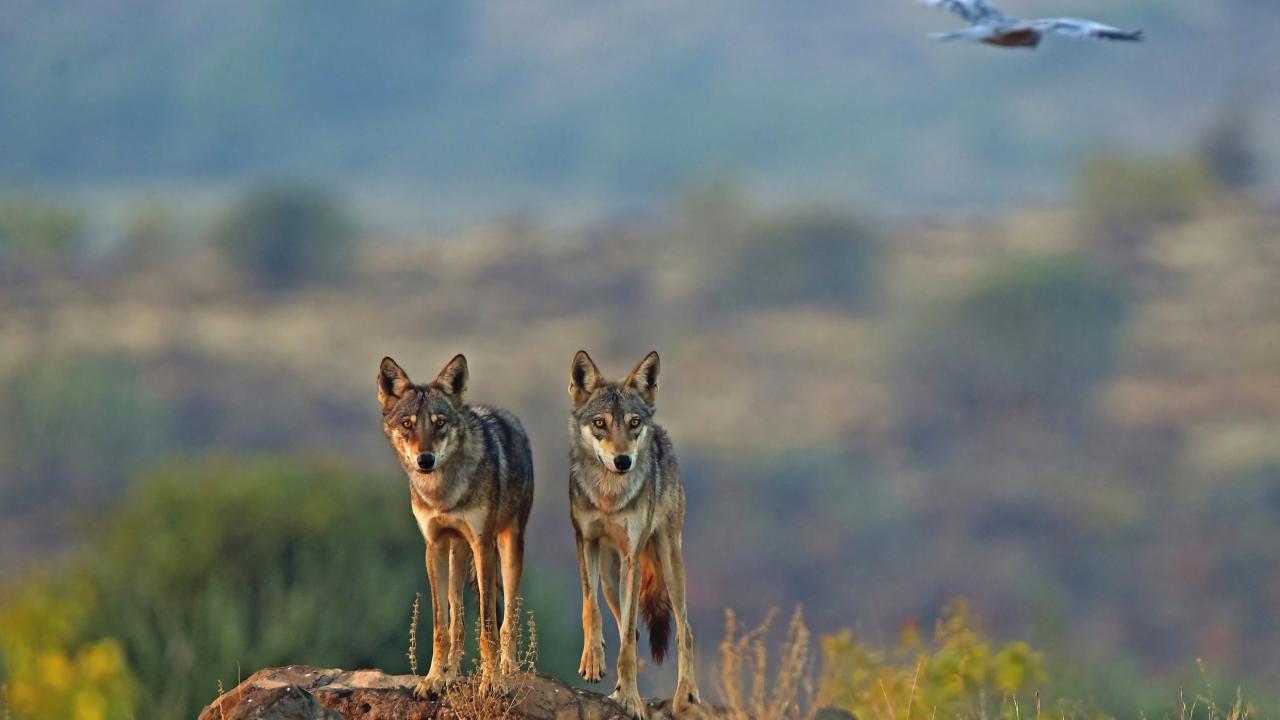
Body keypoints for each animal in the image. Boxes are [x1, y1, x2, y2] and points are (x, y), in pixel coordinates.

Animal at [377, 354, 534, 697]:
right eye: (407, 424)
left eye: (440, 423)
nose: (425, 460)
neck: (443, 493)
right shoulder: (434, 546)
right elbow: (441, 623)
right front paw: (434, 679)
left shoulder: (482, 545)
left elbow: (488, 624)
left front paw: (492, 682)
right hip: (456, 554)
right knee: (457, 619)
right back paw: (451, 675)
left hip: (508, 549)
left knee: (508, 619)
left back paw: (509, 670)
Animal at [567, 350, 702, 719]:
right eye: (600, 424)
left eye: (633, 423)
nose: (623, 460)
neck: (609, 496)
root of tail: (662, 434)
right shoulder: (585, 543)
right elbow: (590, 609)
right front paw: (593, 662)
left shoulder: (632, 559)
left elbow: (627, 640)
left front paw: (630, 699)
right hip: (611, 579)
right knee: (636, 631)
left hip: (669, 565)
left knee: (684, 630)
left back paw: (686, 695)